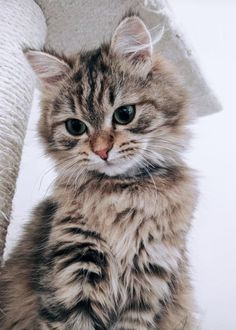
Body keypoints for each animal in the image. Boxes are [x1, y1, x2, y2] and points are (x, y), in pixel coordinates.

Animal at [0, 14, 198, 328]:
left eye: (124, 114)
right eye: (75, 127)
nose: (102, 151)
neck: (121, 194)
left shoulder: (148, 284)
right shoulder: (75, 269)